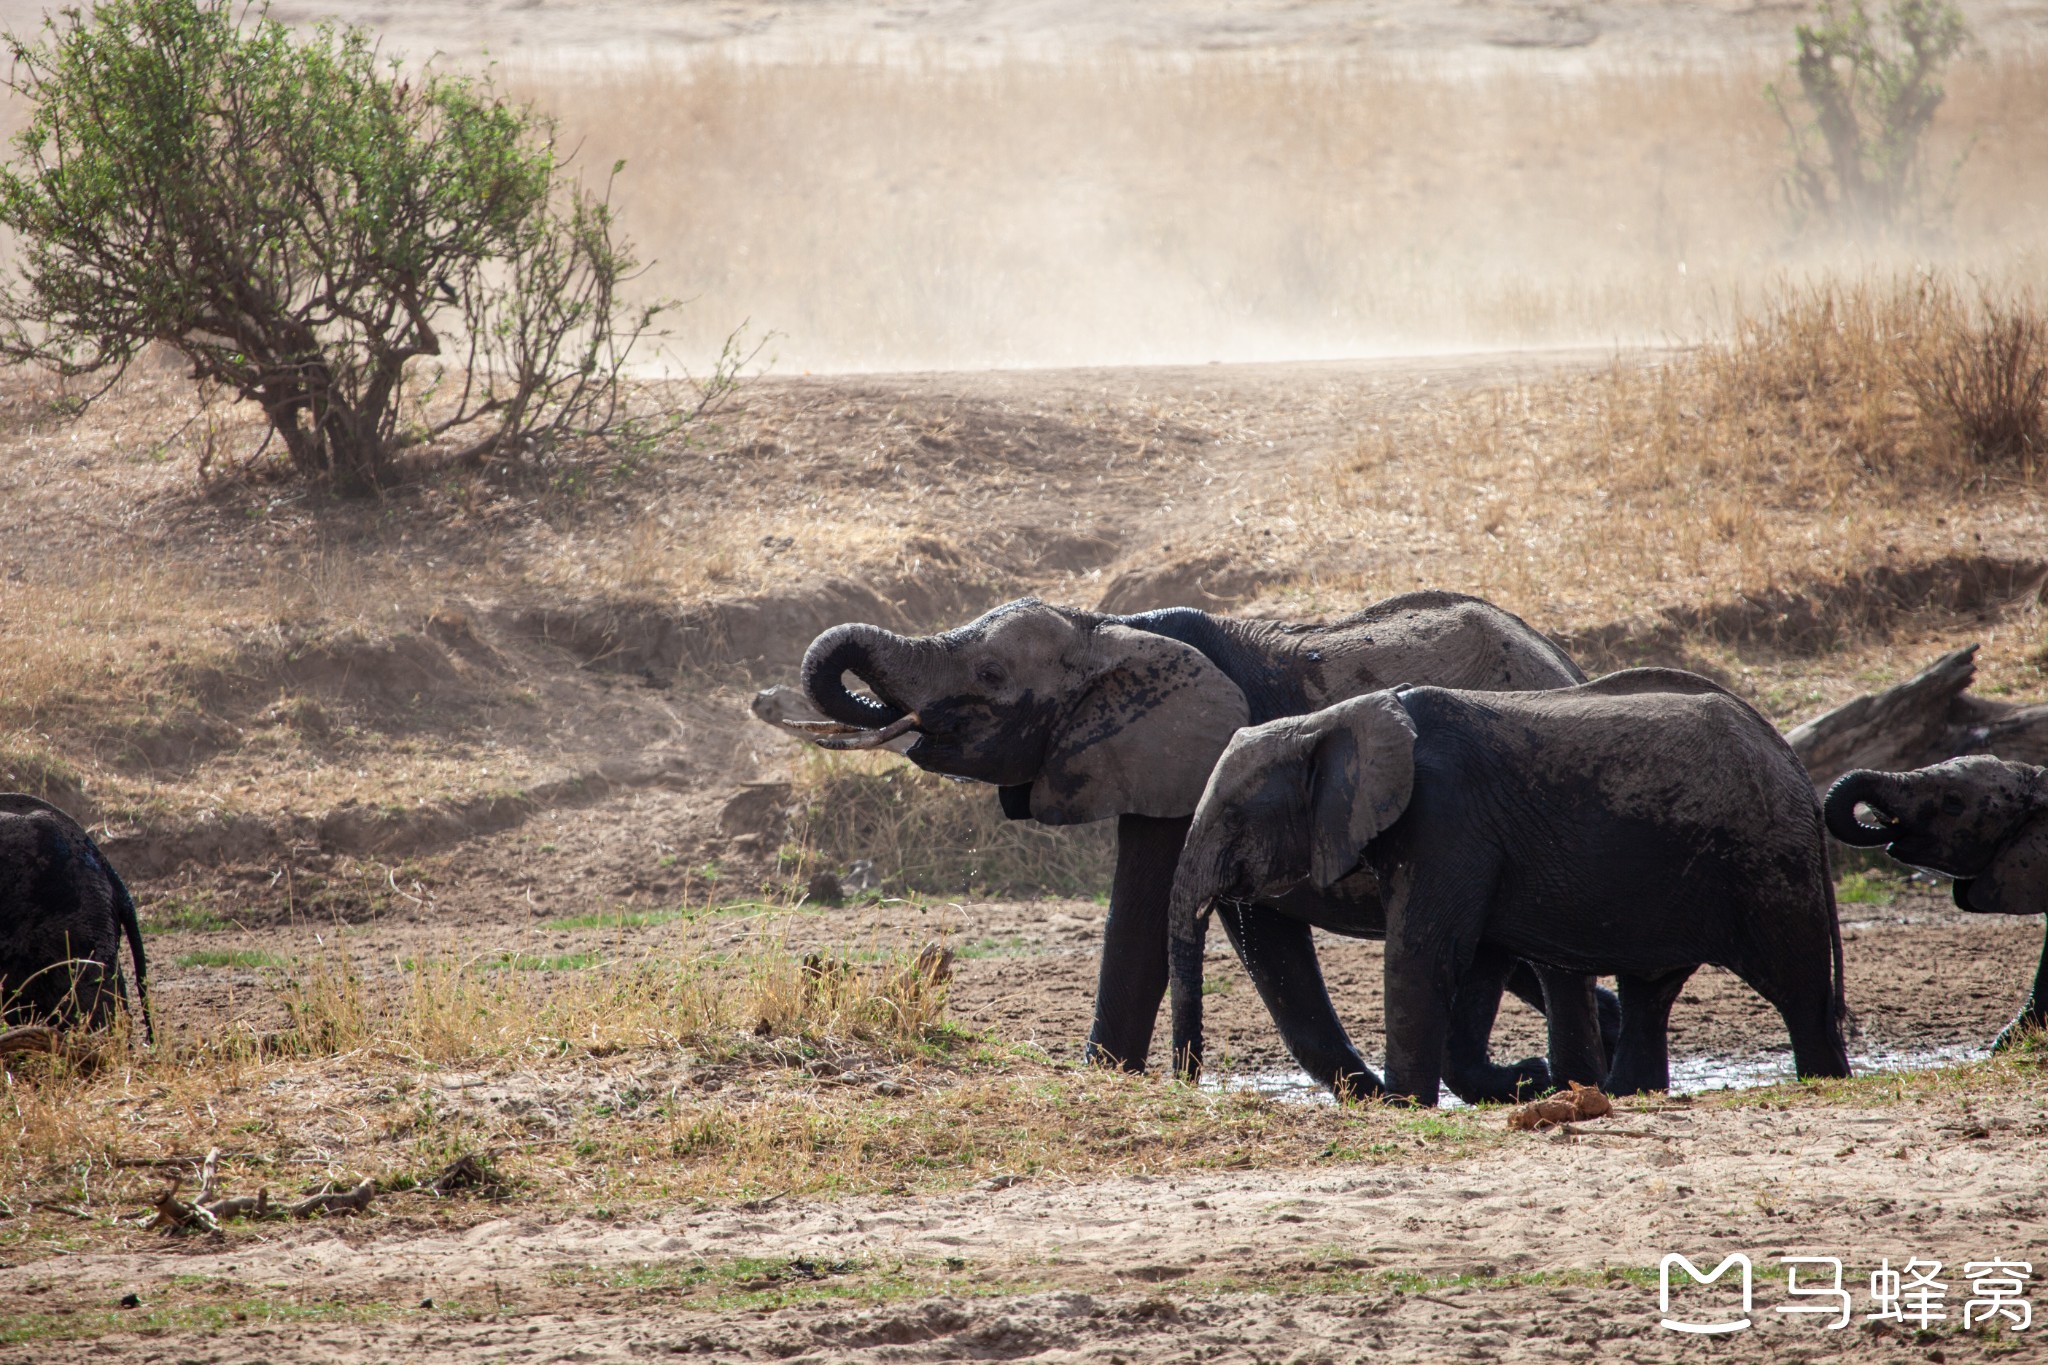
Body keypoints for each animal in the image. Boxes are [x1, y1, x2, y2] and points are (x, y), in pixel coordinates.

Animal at [778, 593, 1613, 1105]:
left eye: (990, 673)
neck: (1108, 626)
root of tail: (1566, 661)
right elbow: (1265, 941)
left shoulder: (1198, 762)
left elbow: (1153, 922)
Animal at [1171, 671, 1859, 1113]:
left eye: (1232, 814)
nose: (1184, 1084)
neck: (1335, 720)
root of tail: (1797, 767)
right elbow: (1477, 960)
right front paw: (1530, 1083)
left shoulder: (1447, 821)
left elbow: (1425, 952)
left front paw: (1407, 1104)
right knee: (1651, 991)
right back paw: (1627, 1092)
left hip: (1768, 863)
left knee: (1798, 988)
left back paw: (1824, 1080)